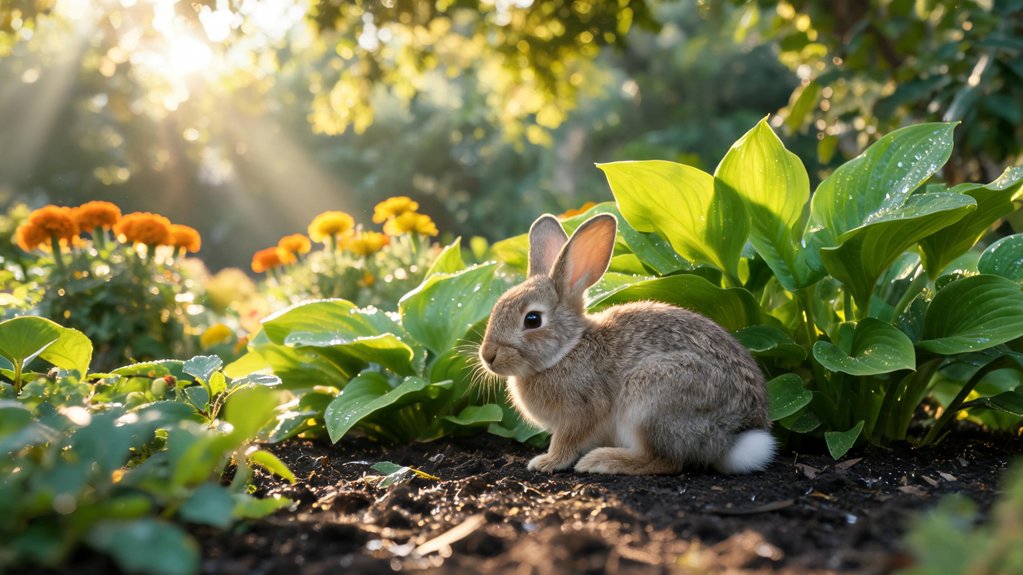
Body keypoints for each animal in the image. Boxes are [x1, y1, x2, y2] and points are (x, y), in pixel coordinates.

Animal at [478, 213, 775, 475]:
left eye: (532, 319)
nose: (488, 355)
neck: (567, 350)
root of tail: (733, 435)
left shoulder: (583, 410)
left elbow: (565, 441)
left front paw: (547, 462)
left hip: (651, 398)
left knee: (665, 462)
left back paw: (601, 461)